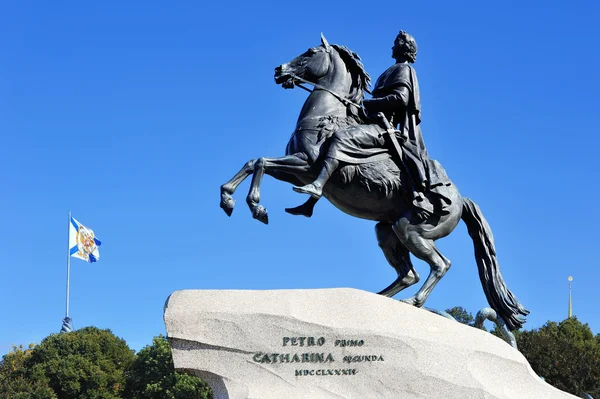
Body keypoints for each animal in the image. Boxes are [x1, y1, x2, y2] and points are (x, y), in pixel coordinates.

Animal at [220, 35, 528, 332]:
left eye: (310, 52)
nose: (279, 70)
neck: (326, 115)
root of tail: (461, 201)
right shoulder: (295, 169)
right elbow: (254, 162)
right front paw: (228, 199)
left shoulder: (306, 166)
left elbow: (265, 163)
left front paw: (257, 207)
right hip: (388, 232)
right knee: (410, 273)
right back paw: (378, 298)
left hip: (411, 230)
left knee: (441, 265)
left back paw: (412, 301)